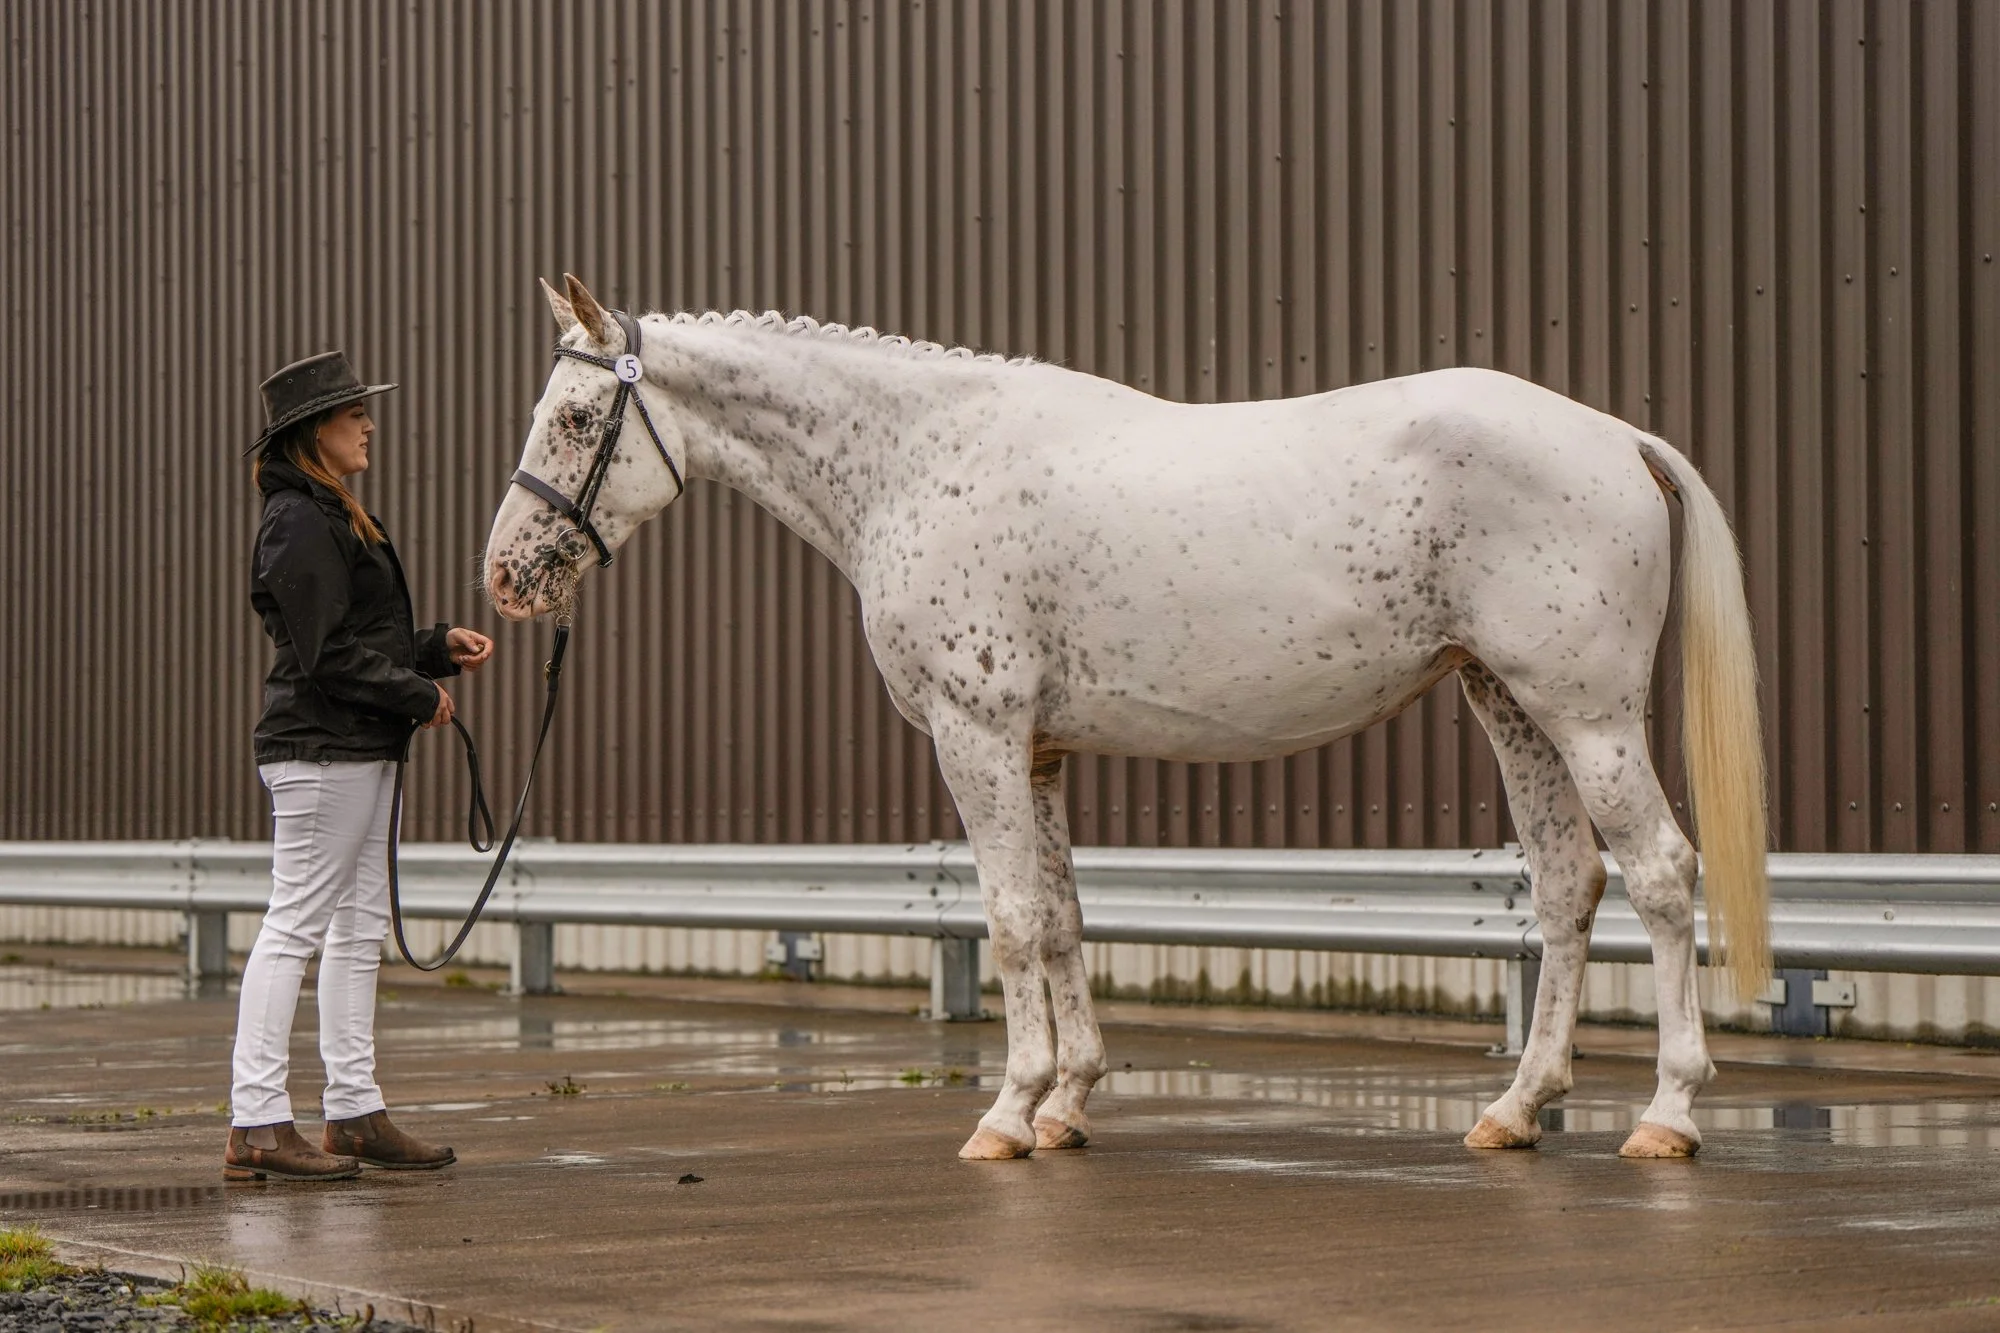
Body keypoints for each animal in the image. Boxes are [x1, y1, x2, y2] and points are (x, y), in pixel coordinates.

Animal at [485, 273, 1770, 1162]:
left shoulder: (976, 733)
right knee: (1565, 885)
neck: (916, 462)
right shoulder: (1039, 751)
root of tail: (1615, 439)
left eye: (575, 419)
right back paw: (1514, 1107)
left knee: (1660, 874)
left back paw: (1665, 1113)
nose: (506, 576)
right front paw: (1067, 1104)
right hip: (1508, 703)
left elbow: (1009, 923)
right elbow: (1059, 920)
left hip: (1586, 713)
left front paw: (1005, 1113)